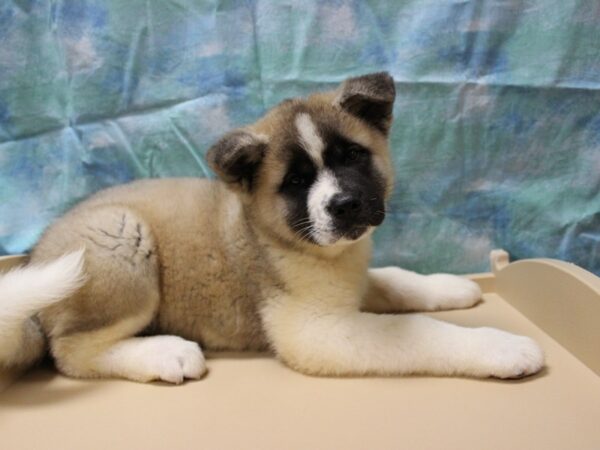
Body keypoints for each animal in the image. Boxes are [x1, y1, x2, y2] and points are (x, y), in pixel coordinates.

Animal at [0, 74, 544, 384]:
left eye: (351, 156)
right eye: (297, 181)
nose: (344, 205)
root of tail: (36, 257)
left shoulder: (352, 280)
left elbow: (397, 280)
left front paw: (451, 286)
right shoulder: (316, 330)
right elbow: (418, 332)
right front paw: (501, 346)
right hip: (121, 235)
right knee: (71, 353)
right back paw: (166, 354)